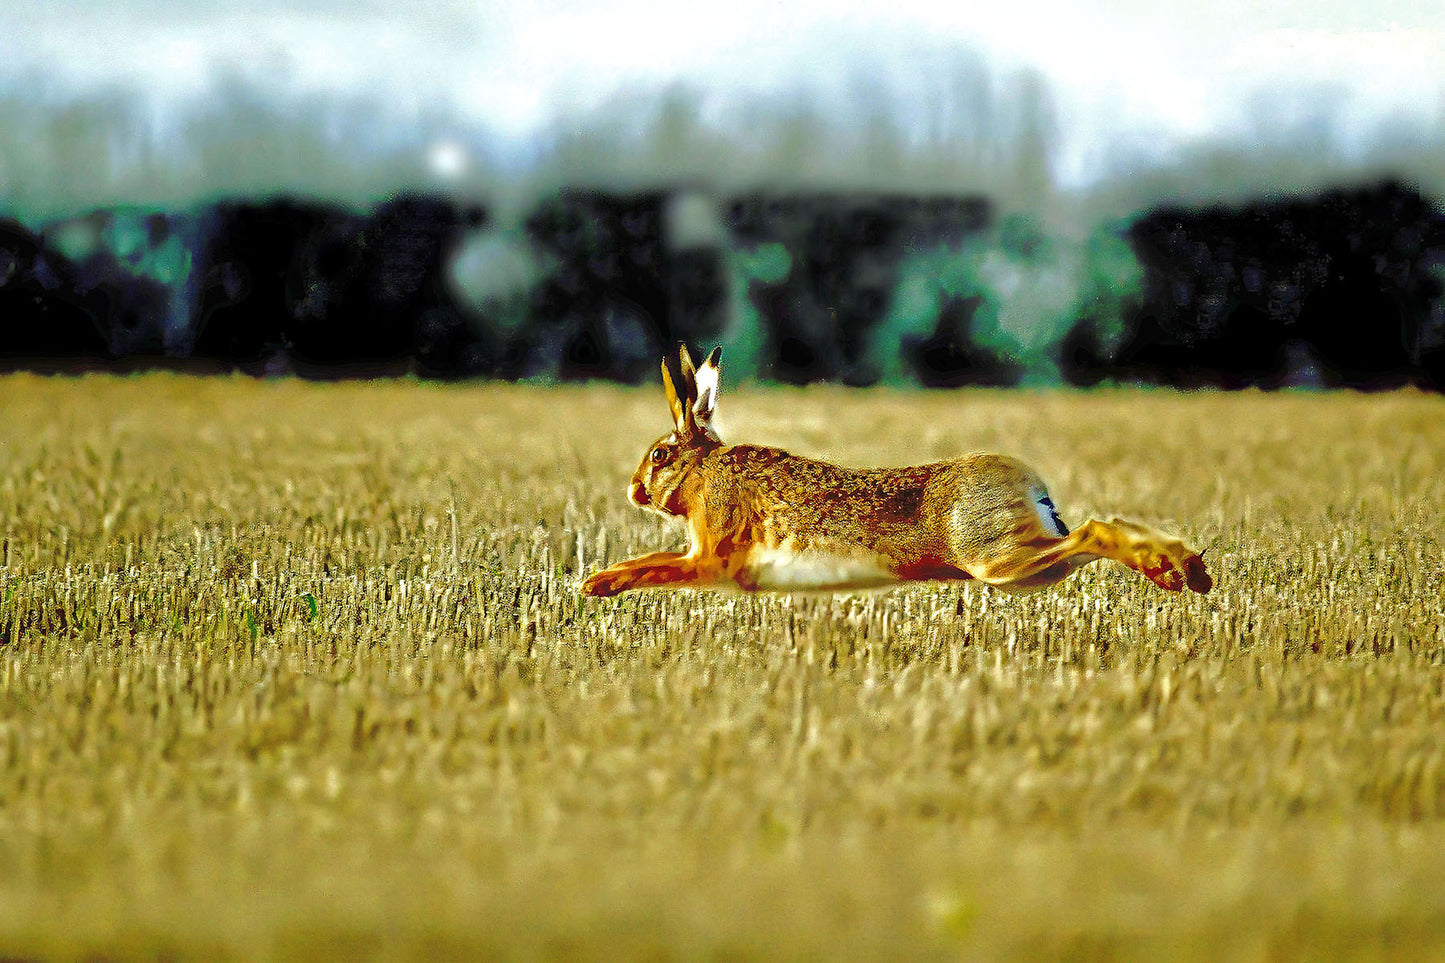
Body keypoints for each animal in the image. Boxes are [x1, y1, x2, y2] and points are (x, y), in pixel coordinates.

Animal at [581, 345, 1211, 598]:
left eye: (660, 456)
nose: (634, 490)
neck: (703, 471)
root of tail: (1030, 483)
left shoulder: (713, 558)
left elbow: (657, 566)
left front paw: (596, 585)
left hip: (997, 559)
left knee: (1097, 529)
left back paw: (1176, 573)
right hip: (1025, 565)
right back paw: (1188, 570)